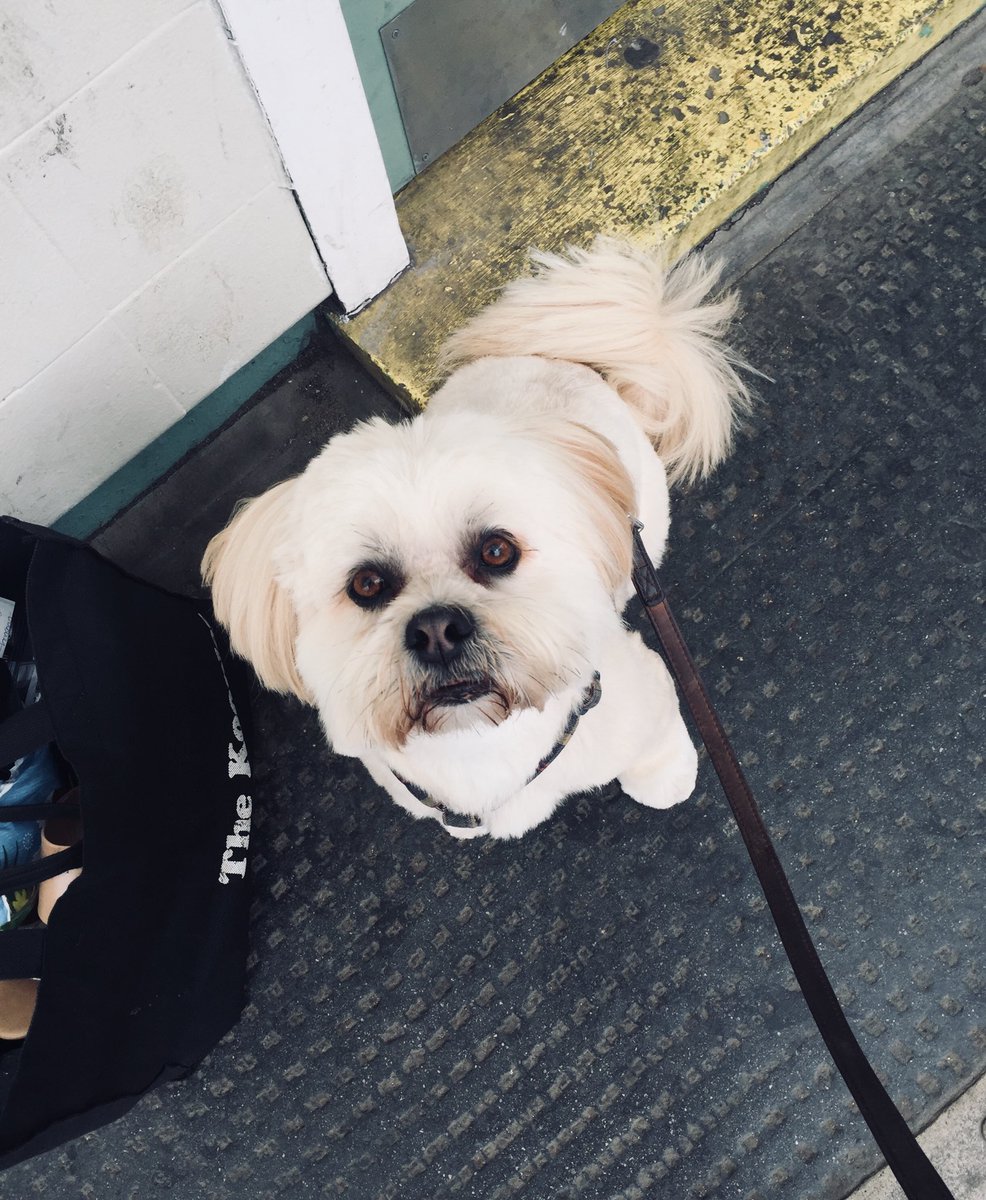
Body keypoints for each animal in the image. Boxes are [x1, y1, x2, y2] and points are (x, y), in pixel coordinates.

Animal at [202, 238, 751, 839]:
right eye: (366, 584)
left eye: (496, 551)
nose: (437, 630)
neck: (481, 745)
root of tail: (569, 363)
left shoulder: (642, 690)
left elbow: (659, 738)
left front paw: (665, 779)